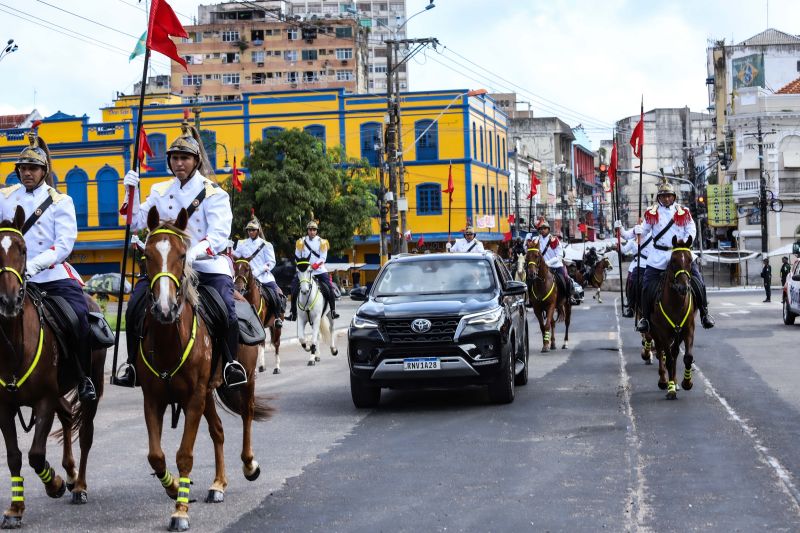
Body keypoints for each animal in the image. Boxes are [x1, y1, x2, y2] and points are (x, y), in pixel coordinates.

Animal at [0, 206, 107, 524]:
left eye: (23, 249)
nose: (9, 300)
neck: (14, 343)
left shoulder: (44, 399)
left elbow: (36, 453)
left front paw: (54, 483)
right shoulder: (4, 405)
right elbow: (14, 456)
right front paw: (16, 508)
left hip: (92, 383)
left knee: (85, 434)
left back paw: (78, 485)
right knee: (69, 415)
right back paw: (70, 474)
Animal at [139, 207, 274, 528]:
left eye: (182, 255)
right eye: (147, 255)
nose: (164, 309)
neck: (169, 340)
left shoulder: (194, 397)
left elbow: (185, 454)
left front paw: (180, 511)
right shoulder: (153, 398)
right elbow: (156, 455)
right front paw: (175, 487)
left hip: (243, 380)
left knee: (247, 414)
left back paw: (249, 464)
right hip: (208, 392)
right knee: (218, 430)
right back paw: (218, 484)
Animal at [648, 237, 696, 400]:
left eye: (690, 260)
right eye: (673, 260)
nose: (683, 288)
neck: (676, 303)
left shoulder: (688, 329)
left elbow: (687, 357)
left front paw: (686, 383)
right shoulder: (662, 331)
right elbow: (667, 359)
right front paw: (670, 390)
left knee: (674, 353)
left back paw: (674, 380)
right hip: (655, 332)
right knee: (661, 351)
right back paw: (664, 380)